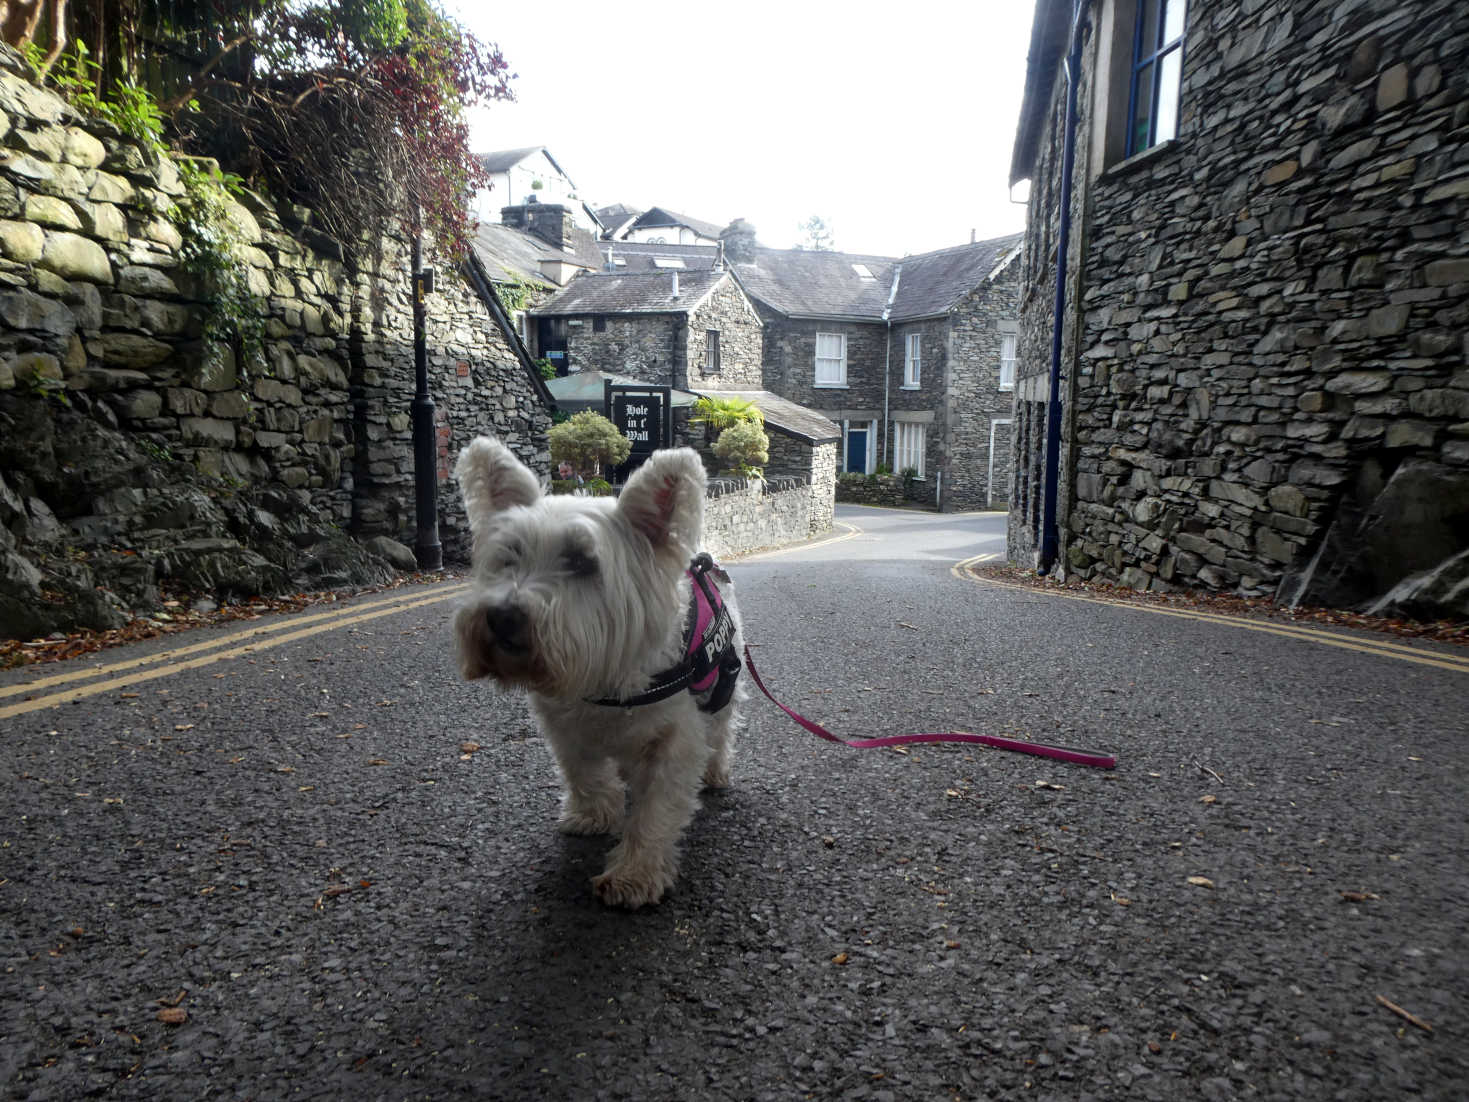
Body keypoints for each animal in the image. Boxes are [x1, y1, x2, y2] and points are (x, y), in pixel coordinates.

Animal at [449, 434, 746, 910]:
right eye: (510, 556)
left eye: (582, 562)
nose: (502, 617)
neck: (602, 677)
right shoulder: (564, 725)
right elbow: (583, 772)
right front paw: (592, 815)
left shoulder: (674, 739)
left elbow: (656, 809)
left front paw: (634, 874)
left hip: (723, 685)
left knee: (721, 729)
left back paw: (715, 771)